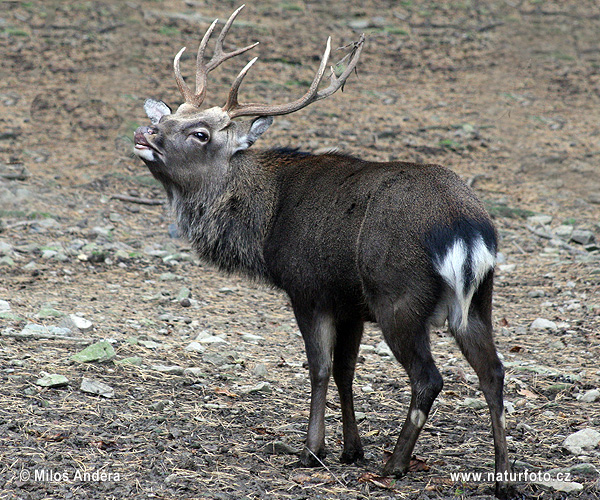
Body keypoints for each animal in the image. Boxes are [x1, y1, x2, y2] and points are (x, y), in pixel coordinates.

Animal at [135, 4, 510, 496]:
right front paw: (351, 449)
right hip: (479, 299)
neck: (263, 226)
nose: (146, 132)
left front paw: (311, 451)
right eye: (171, 114)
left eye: (200, 134)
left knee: (429, 378)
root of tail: (466, 229)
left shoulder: (308, 289)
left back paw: (394, 465)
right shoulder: (350, 303)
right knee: (493, 372)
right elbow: (346, 371)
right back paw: (503, 478)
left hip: (398, 296)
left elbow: (318, 368)